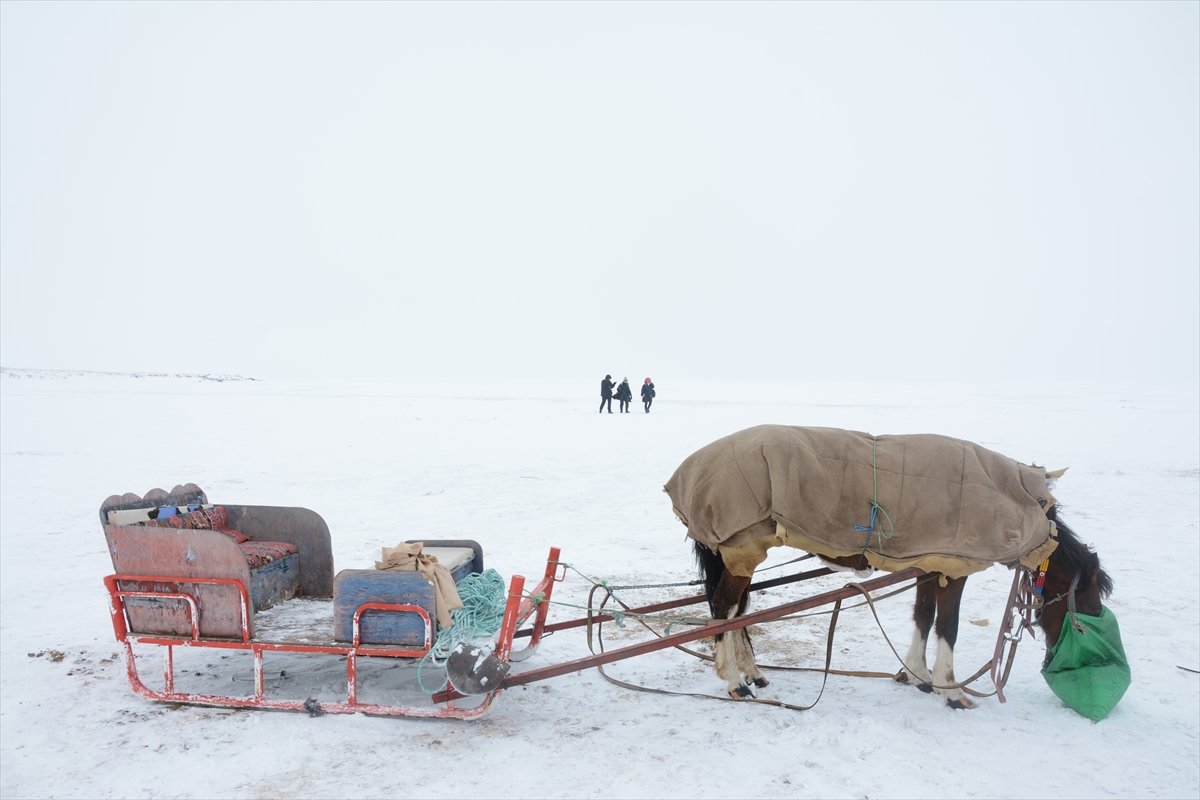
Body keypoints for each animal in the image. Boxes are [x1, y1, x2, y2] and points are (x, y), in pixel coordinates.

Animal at [672, 422, 1118, 710]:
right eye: (1089, 596)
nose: (1054, 656)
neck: (1013, 497)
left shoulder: (930, 566)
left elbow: (923, 615)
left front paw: (918, 674)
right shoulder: (955, 569)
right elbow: (947, 625)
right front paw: (950, 689)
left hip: (741, 554)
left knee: (738, 612)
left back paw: (751, 672)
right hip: (741, 550)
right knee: (725, 608)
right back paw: (734, 681)